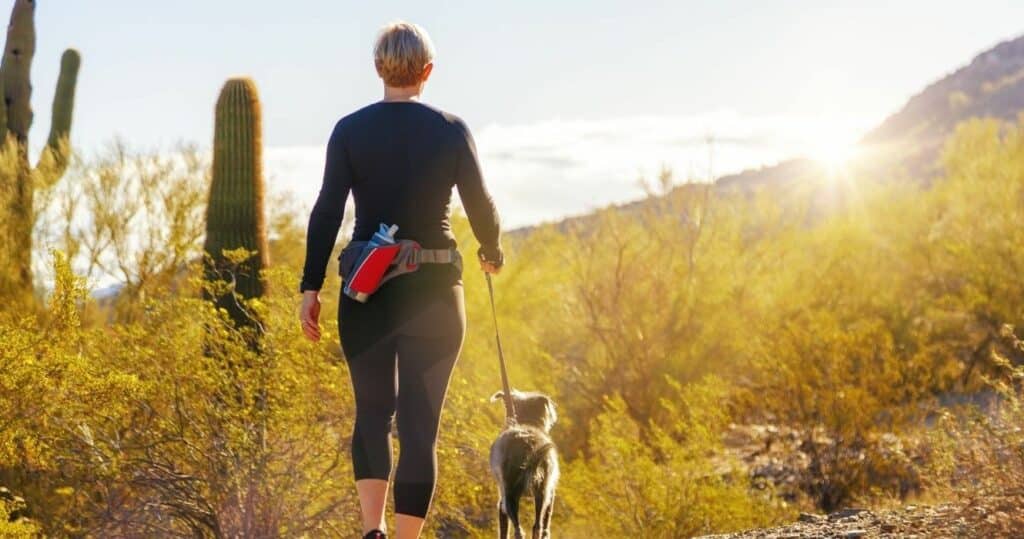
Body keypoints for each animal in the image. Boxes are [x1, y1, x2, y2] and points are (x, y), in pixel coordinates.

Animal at [487, 391, 561, 539]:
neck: (527, 421)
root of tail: (529, 446)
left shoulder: (501, 502)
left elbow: (504, 530)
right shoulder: (550, 494)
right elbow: (547, 519)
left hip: (509, 496)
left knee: (518, 530)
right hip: (542, 493)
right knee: (537, 526)